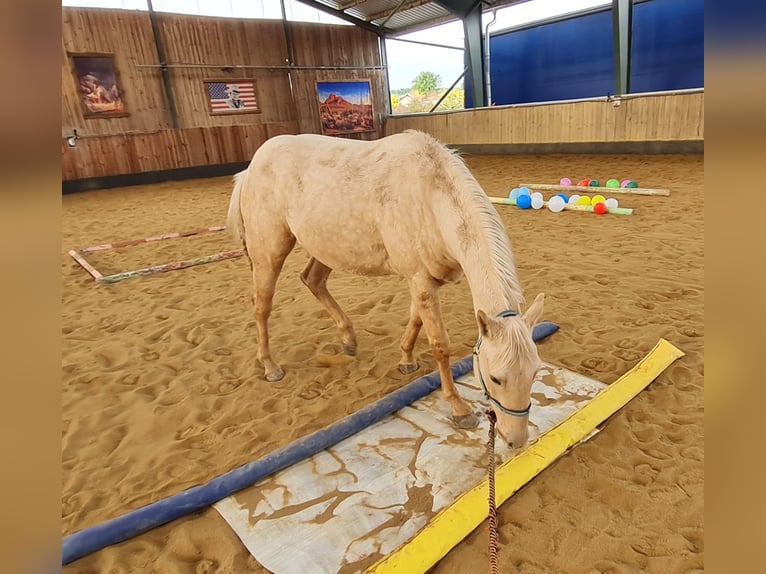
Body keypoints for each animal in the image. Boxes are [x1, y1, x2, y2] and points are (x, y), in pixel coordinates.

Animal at [227, 130, 545, 447]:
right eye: (495, 378)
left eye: (534, 373)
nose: (516, 440)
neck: (430, 199)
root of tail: (250, 168)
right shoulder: (420, 279)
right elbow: (439, 345)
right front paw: (459, 409)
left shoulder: (424, 281)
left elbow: (416, 320)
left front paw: (406, 360)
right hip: (269, 252)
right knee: (262, 306)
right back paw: (270, 366)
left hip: (325, 247)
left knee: (312, 280)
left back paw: (348, 339)